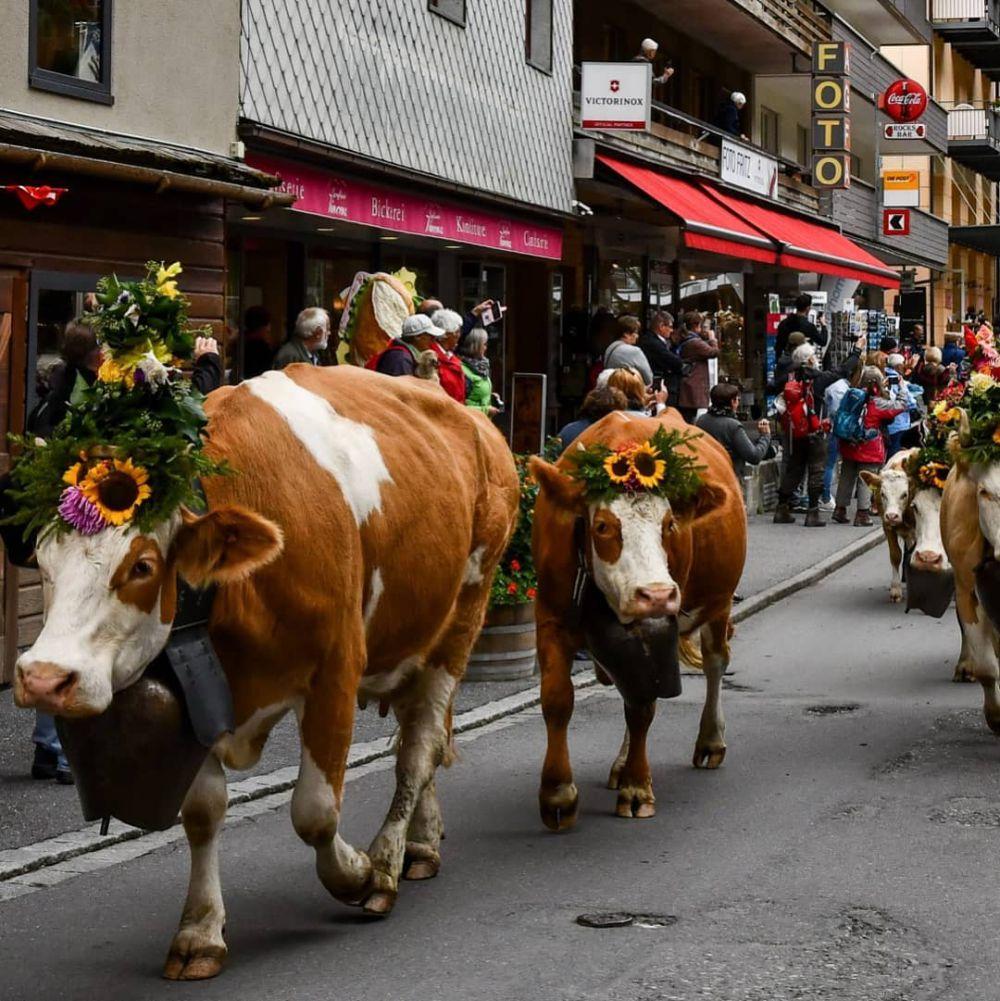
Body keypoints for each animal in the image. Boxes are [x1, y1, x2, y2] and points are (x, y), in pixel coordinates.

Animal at [5, 260, 524, 976]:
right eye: (42, 556)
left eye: (142, 566)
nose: (44, 678)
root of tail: (470, 419)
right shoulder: (201, 681)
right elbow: (202, 810)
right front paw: (199, 932)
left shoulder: (337, 666)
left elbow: (315, 810)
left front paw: (359, 874)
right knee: (425, 734)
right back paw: (422, 844)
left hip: (465, 614)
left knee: (419, 746)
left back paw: (392, 858)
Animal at [528, 410, 748, 824]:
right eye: (602, 526)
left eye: (669, 525)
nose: (657, 594)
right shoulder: (550, 615)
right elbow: (557, 699)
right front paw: (557, 793)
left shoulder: (659, 626)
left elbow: (643, 707)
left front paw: (636, 788)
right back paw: (620, 762)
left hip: (720, 601)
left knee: (715, 661)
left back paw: (710, 741)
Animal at [860, 450, 952, 604]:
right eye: (882, 494)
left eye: (904, 494)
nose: (892, 515)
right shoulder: (887, 526)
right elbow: (896, 555)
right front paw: (896, 589)